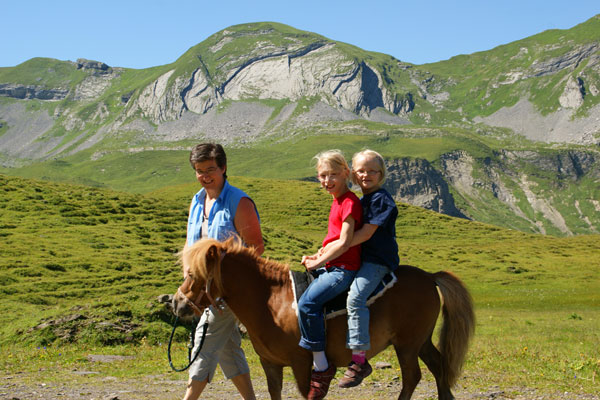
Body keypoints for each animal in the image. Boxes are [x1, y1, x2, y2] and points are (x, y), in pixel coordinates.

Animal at [172, 237, 475, 400]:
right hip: (421, 341)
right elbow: (274, 393)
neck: (272, 301)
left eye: (192, 274)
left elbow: (308, 391)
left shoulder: (302, 363)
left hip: (407, 345)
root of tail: (430, 277)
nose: (176, 303)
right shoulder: (271, 364)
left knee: (413, 376)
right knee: (439, 366)